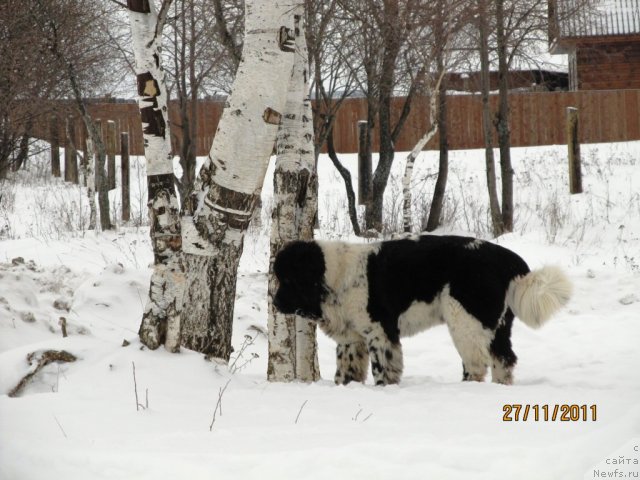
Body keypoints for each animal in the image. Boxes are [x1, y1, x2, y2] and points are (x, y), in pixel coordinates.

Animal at [272, 235, 572, 386]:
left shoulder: (380, 332)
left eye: (288, 280)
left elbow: (383, 368)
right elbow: (346, 371)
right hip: (494, 324)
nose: (275, 303)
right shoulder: (352, 338)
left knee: (477, 363)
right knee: (504, 359)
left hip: (466, 321)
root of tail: (506, 258)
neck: (335, 275)